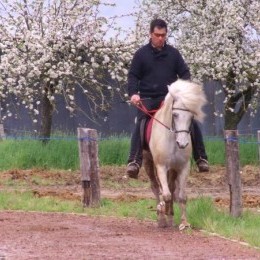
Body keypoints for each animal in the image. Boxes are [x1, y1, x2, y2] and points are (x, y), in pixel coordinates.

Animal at [142, 79, 207, 230]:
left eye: (191, 116)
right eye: (175, 115)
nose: (182, 143)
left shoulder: (183, 167)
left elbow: (181, 196)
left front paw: (184, 222)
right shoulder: (161, 166)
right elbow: (165, 195)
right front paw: (162, 215)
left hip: (173, 168)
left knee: (171, 188)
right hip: (149, 163)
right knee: (156, 187)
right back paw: (162, 216)